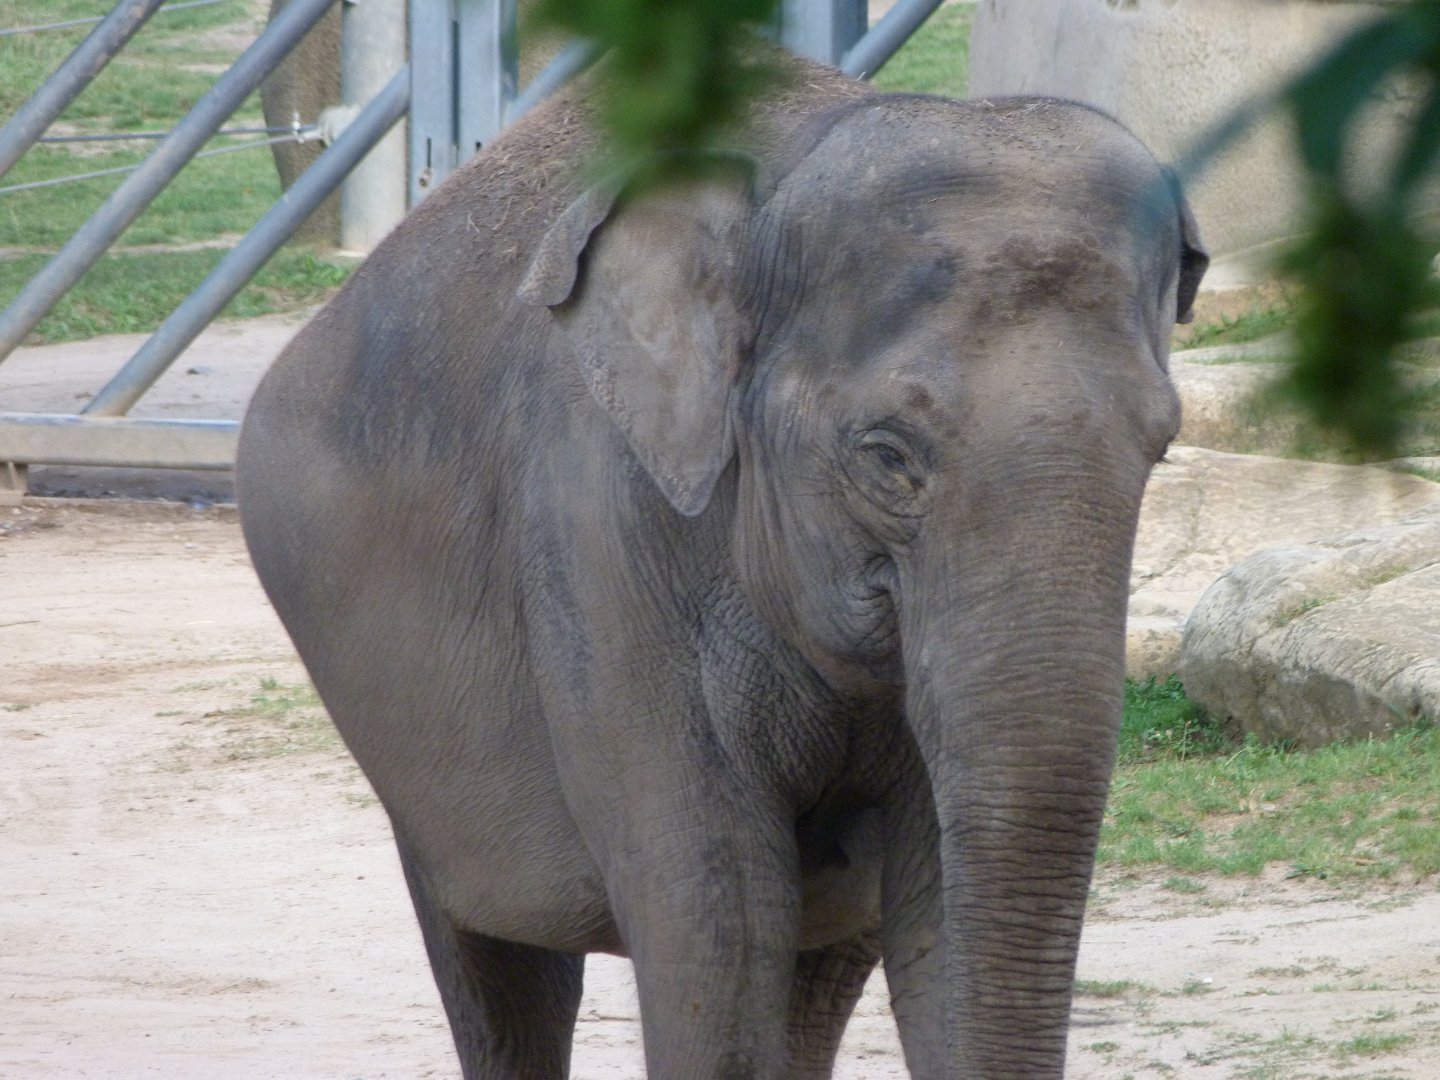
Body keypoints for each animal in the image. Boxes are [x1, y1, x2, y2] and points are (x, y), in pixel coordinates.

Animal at [237, 57, 1206, 1080]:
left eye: (1160, 446)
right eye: (887, 457)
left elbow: (935, 901)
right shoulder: (600, 531)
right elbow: (715, 922)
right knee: (504, 967)